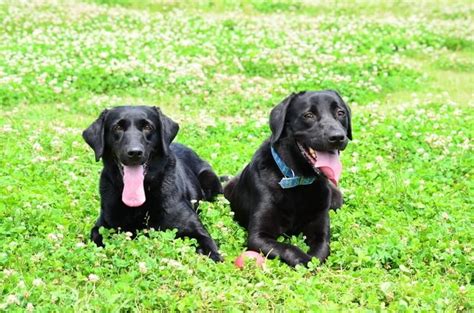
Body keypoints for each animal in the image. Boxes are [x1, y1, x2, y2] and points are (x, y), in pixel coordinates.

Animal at [83, 105, 222, 260]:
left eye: (148, 127)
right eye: (117, 127)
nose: (135, 153)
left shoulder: (196, 229)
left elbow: (211, 249)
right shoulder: (102, 225)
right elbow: (97, 237)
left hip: (209, 178)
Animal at [223, 90, 352, 266]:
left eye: (340, 113)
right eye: (308, 115)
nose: (337, 137)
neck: (299, 182)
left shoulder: (321, 232)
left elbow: (320, 252)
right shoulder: (258, 236)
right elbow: (288, 247)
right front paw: (304, 260)